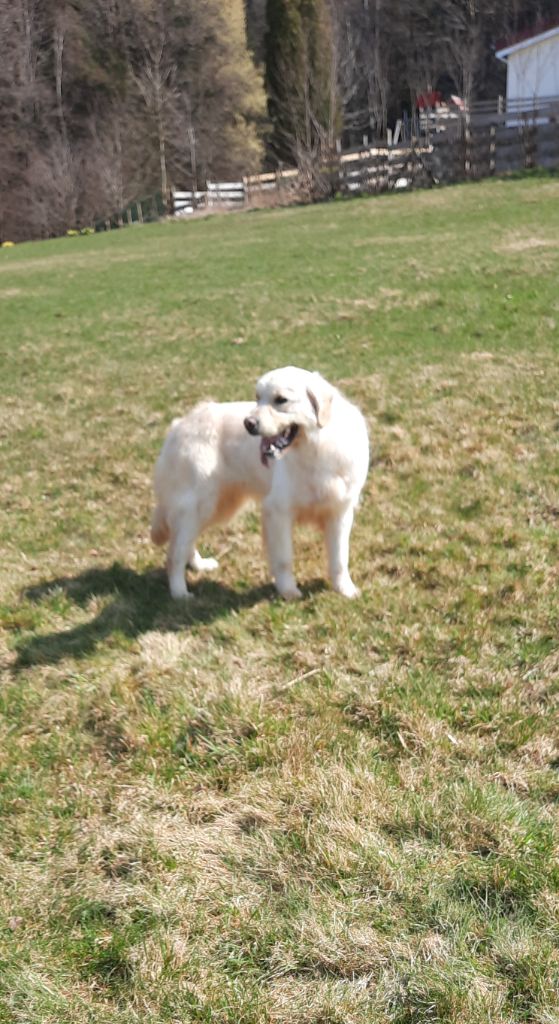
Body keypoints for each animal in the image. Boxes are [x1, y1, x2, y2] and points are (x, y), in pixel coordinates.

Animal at [151, 366, 369, 600]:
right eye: (257, 398)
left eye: (281, 400)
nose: (248, 424)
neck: (316, 449)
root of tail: (178, 426)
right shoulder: (278, 511)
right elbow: (284, 559)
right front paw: (289, 592)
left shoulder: (340, 512)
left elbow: (340, 558)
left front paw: (345, 590)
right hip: (199, 505)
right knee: (174, 553)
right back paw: (180, 594)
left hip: (215, 507)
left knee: (184, 543)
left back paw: (199, 566)